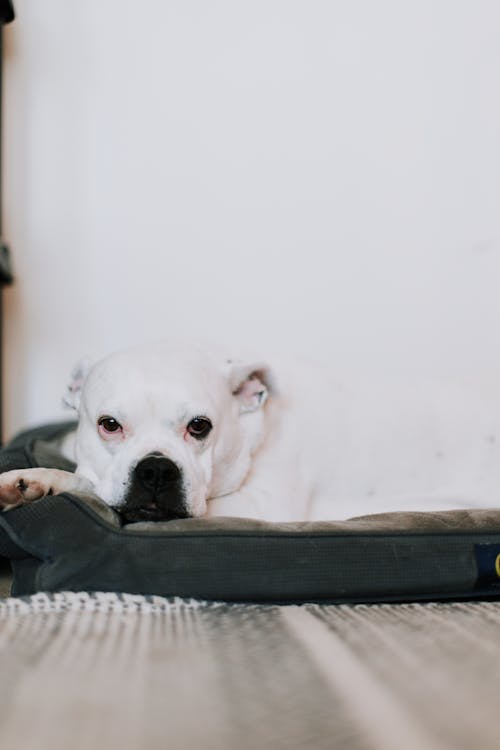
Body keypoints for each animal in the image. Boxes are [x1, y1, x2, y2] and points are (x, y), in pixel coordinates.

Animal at [0, 342, 500, 524]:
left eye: (200, 426)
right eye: (109, 425)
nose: (157, 471)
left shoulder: (261, 506)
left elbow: (89, 486)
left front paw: (44, 481)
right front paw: (34, 480)